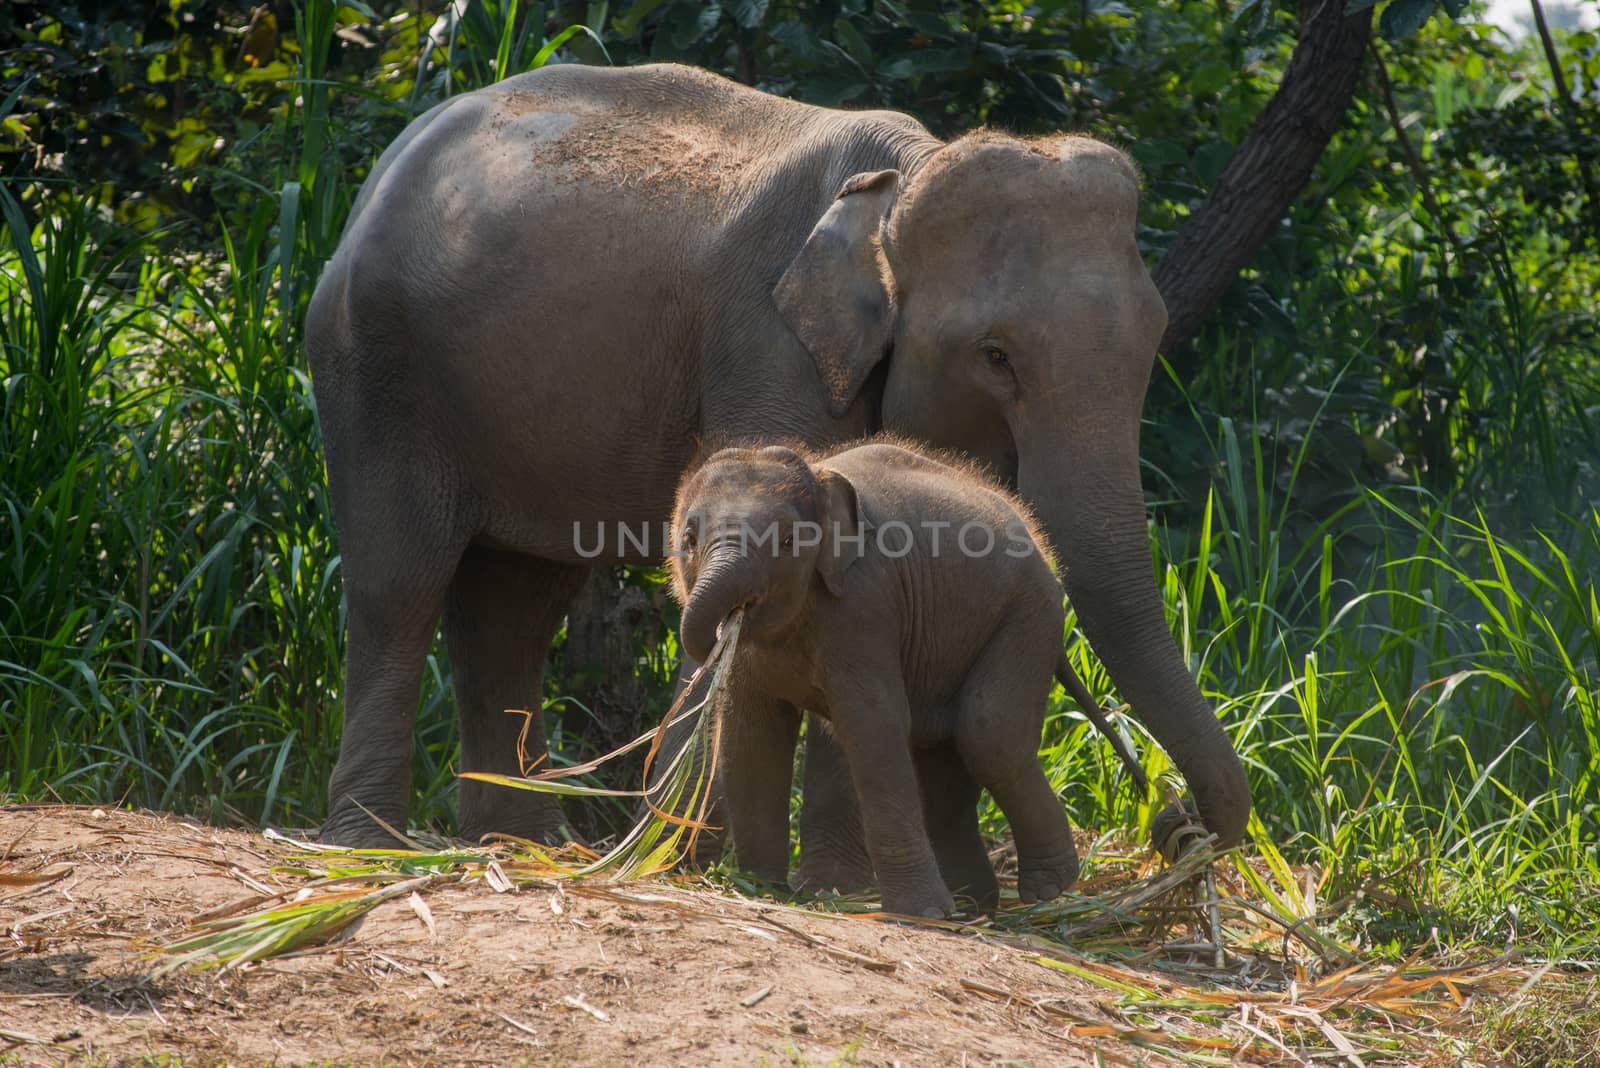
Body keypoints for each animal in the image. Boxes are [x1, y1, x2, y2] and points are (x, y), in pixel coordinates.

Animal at [300, 62, 1248, 869]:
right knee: (401, 578)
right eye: (997, 356)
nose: (1173, 821)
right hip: (377, 365)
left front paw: (817, 873)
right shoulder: (768, 342)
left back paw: (523, 845)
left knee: (516, 602)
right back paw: (371, 844)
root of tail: (385, 166)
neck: (900, 182)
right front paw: (685, 857)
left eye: (1155, 341)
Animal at [668, 441, 1145, 920]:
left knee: (989, 736)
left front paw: (920, 914)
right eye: (688, 540)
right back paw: (972, 907)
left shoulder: (864, 602)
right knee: (941, 759)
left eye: (788, 542)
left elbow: (873, 724)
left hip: (1030, 615)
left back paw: (1048, 888)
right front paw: (763, 890)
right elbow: (751, 732)